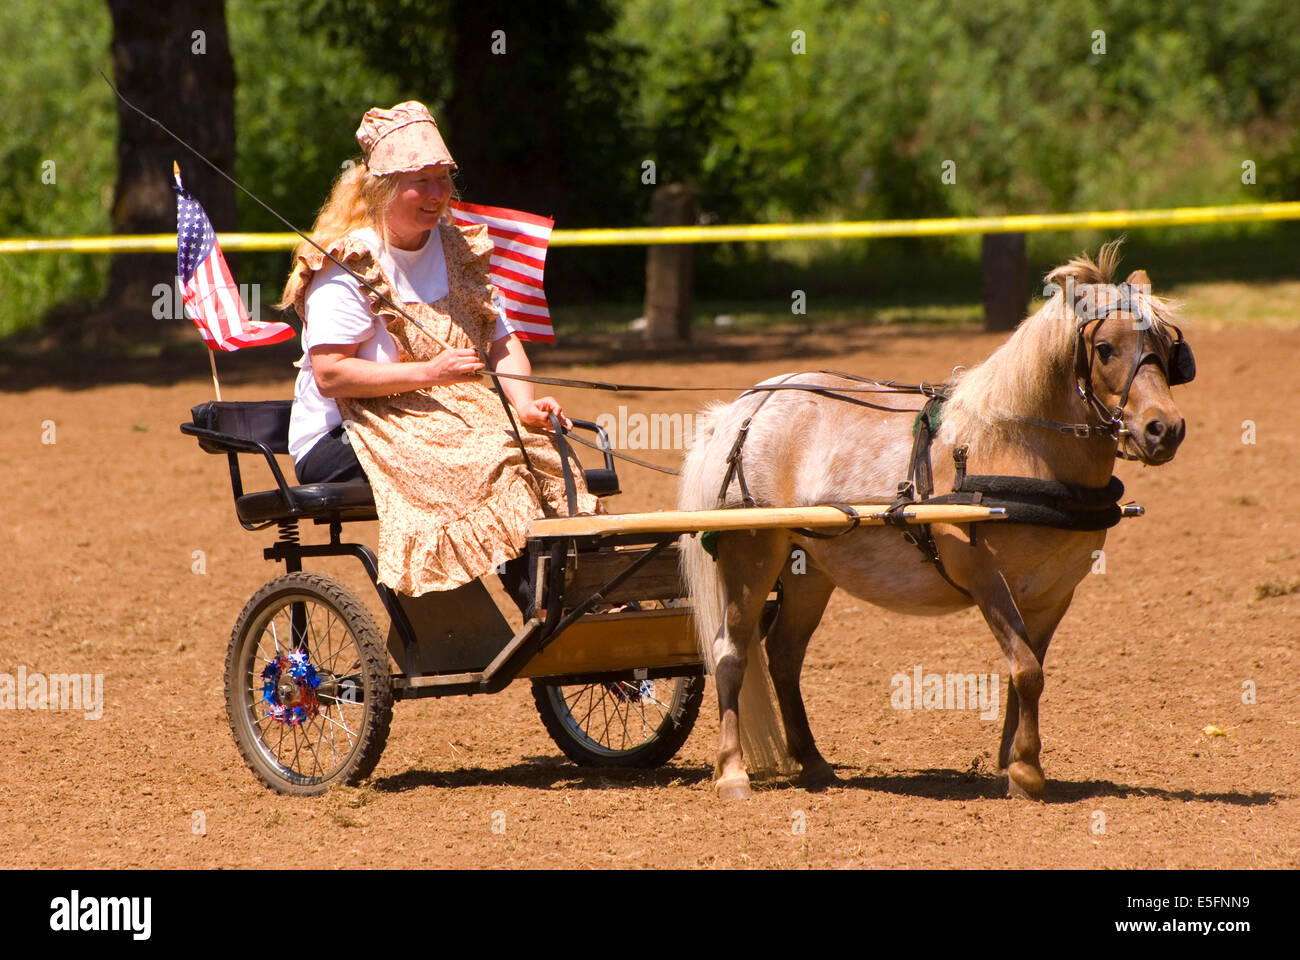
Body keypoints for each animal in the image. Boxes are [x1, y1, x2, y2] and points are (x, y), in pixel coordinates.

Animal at [677, 241, 1191, 800]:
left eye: (1167, 346)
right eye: (1105, 348)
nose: (1164, 429)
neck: (1016, 446)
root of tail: (743, 410)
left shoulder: (1056, 591)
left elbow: (1027, 672)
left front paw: (1014, 764)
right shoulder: (984, 576)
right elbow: (1027, 670)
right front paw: (1026, 773)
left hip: (809, 565)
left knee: (784, 655)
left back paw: (813, 762)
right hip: (753, 551)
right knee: (730, 651)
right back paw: (732, 772)